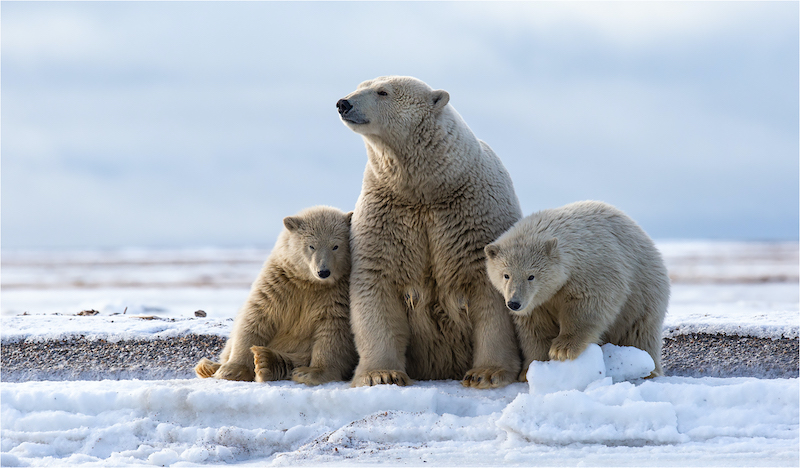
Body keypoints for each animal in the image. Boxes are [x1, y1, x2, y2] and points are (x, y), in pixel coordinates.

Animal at [194, 206, 357, 385]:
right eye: (311, 246)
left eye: (335, 246)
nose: (323, 272)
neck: (309, 283)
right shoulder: (279, 284)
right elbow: (257, 316)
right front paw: (231, 370)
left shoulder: (335, 295)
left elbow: (332, 330)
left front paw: (311, 373)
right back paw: (210, 366)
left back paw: (266, 361)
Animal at [336, 76, 522, 388]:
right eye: (359, 85)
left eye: (382, 91)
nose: (343, 103)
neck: (430, 189)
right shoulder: (388, 217)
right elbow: (376, 283)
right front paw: (381, 374)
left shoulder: (475, 217)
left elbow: (491, 291)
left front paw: (486, 373)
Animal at [484, 200, 670, 380]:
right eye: (506, 275)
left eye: (531, 276)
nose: (514, 303)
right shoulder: (537, 303)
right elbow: (535, 328)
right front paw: (531, 369)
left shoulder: (593, 268)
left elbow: (589, 304)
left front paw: (563, 349)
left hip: (644, 292)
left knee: (639, 331)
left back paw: (648, 369)